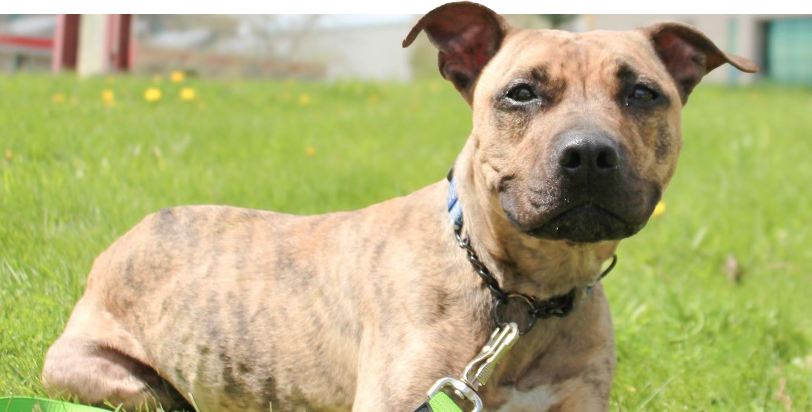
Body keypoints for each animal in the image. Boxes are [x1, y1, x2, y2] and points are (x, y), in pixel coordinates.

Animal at [42, 4, 758, 412]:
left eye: (642, 93)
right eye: (521, 93)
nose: (588, 153)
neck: (518, 297)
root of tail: (122, 241)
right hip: (109, 378)